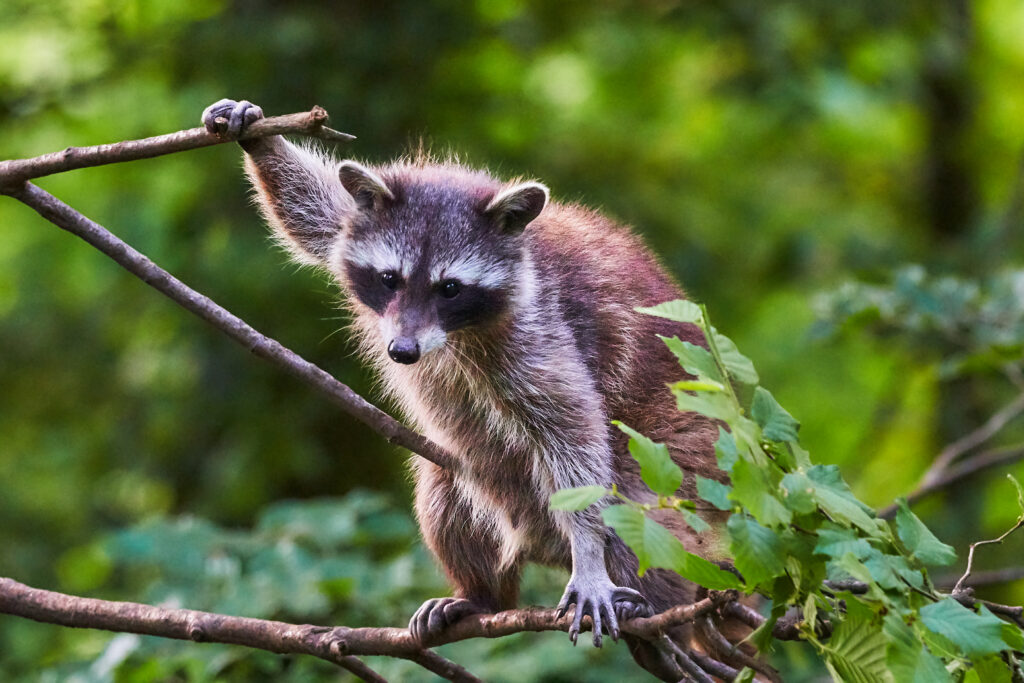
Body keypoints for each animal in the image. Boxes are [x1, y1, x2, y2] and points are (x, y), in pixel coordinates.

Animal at [203, 99, 737, 680]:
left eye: (450, 288)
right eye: (389, 279)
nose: (403, 352)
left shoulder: (538, 328)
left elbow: (573, 431)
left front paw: (590, 556)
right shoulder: (354, 231)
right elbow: (317, 210)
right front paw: (259, 140)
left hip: (687, 496)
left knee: (639, 515)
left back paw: (662, 616)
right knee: (442, 489)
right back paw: (482, 595)